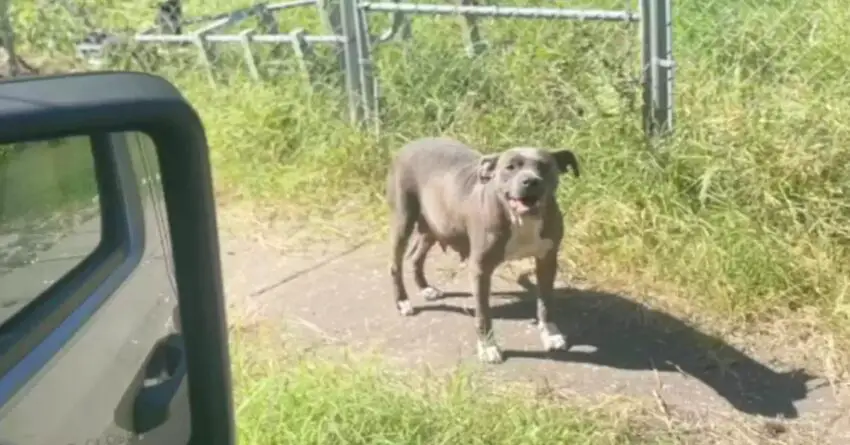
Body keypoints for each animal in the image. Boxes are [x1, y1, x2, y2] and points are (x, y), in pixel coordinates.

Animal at [382, 137, 576, 362]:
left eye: (544, 166)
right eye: (510, 167)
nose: (530, 181)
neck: (520, 219)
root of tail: (410, 144)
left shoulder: (547, 260)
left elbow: (545, 302)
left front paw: (551, 334)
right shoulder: (481, 269)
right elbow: (483, 313)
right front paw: (488, 346)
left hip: (435, 225)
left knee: (415, 256)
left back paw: (425, 287)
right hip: (403, 219)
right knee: (395, 264)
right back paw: (402, 301)